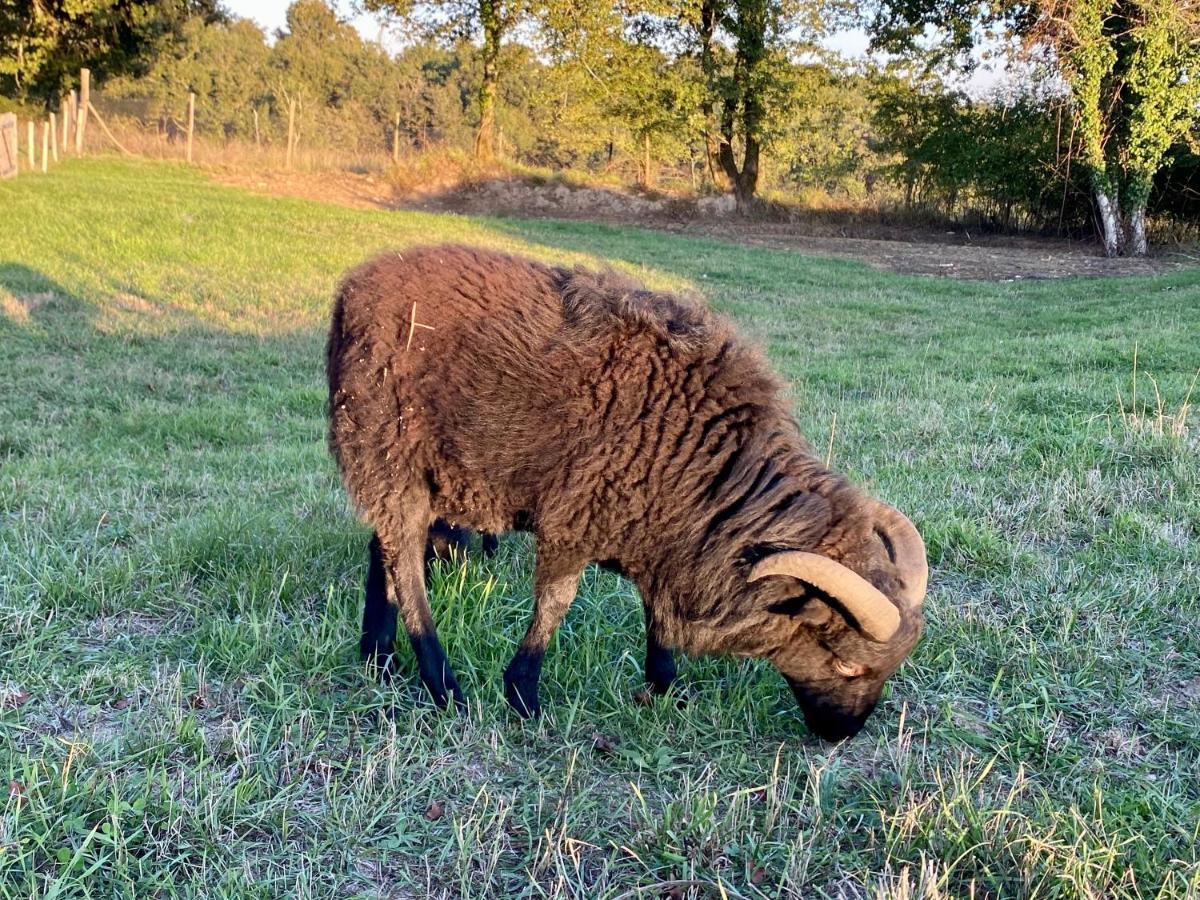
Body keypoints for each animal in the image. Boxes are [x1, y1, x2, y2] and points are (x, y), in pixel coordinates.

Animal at [321, 244, 926, 739]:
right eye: (845, 661)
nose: (841, 735)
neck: (712, 473)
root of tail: (354, 288)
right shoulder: (576, 519)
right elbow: (554, 606)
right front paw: (523, 696)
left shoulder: (657, 530)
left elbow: (655, 612)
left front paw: (664, 687)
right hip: (388, 450)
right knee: (406, 566)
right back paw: (443, 686)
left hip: (413, 471)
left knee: (384, 549)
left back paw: (378, 656)